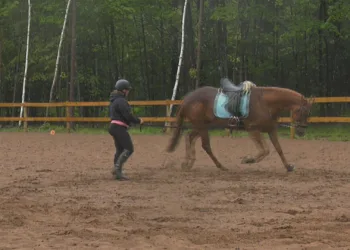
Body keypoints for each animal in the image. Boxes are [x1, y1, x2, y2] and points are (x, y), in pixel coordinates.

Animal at [165, 78, 314, 172]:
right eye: (302, 111)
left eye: (308, 113)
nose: (301, 132)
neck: (265, 102)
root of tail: (187, 99)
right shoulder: (253, 129)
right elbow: (265, 150)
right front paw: (248, 160)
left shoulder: (271, 130)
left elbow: (279, 149)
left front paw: (288, 167)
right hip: (202, 127)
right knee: (205, 145)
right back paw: (220, 166)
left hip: (202, 126)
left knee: (189, 137)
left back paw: (188, 163)